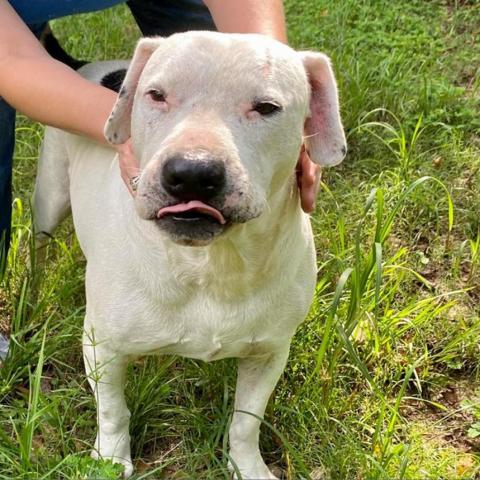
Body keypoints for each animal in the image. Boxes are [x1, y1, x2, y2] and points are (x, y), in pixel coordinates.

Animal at [33, 31, 346, 478]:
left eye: (267, 108)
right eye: (156, 95)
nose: (192, 172)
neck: (211, 263)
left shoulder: (270, 353)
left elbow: (246, 421)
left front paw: (247, 465)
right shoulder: (101, 347)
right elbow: (112, 412)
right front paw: (111, 458)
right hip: (50, 196)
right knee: (38, 247)